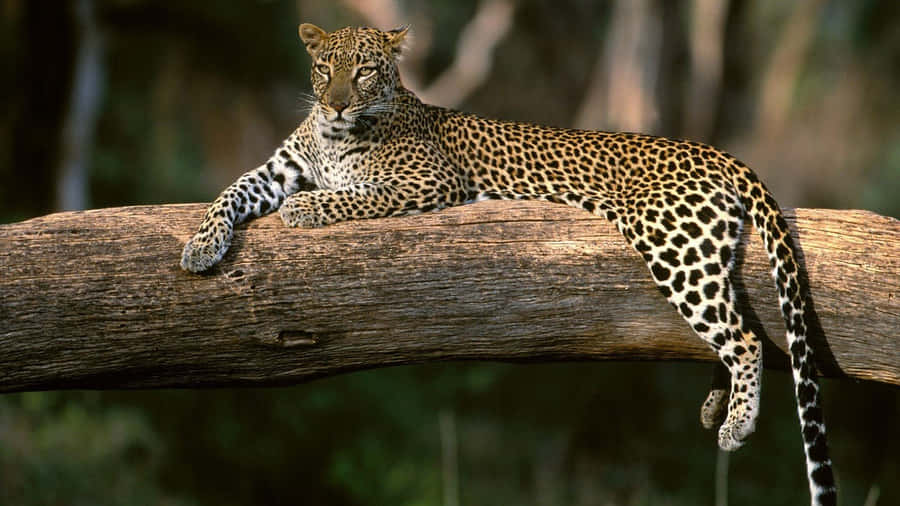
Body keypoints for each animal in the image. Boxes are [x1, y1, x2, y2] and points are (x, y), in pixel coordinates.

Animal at [181, 23, 836, 505]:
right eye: (325, 68)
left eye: (364, 70)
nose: (337, 104)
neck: (335, 136)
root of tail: (712, 149)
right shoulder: (276, 169)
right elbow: (230, 192)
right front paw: (199, 247)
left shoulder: (426, 182)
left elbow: (350, 195)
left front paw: (304, 210)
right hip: (699, 248)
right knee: (734, 323)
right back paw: (715, 402)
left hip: (672, 243)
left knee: (745, 337)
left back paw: (736, 424)